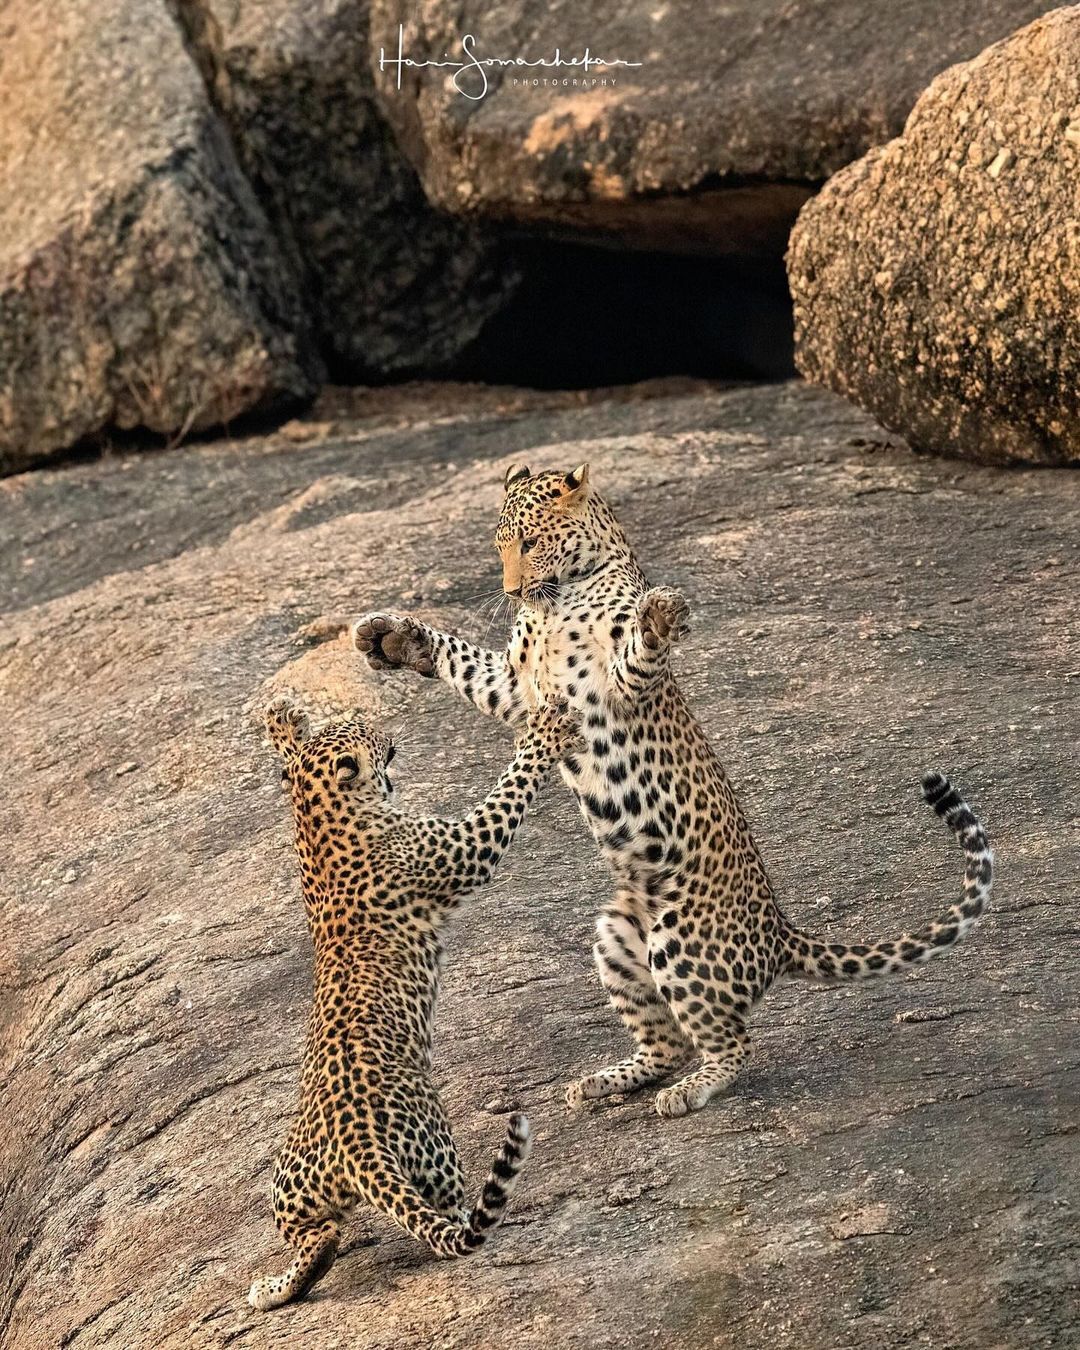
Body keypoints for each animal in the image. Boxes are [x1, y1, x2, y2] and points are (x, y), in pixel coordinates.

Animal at [248, 696, 583, 1306]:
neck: (321, 815)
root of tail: (358, 1146)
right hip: (437, 1154)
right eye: (364, 732)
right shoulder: (466, 847)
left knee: (318, 1238)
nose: (387, 732)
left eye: (349, 725)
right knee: (448, 1219)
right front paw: (545, 732)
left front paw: (283, 721)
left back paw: (273, 1290)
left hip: (287, 1190)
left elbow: (287, 758)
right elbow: (511, 787)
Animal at [351, 461, 993, 1117]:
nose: (509, 592)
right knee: (670, 1043)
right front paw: (392, 639)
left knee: (732, 1043)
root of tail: (779, 932)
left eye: (528, 544)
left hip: (680, 941)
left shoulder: (611, 684)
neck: (555, 602)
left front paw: (660, 617)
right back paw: (606, 1080)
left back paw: (688, 1091)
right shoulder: (514, 687)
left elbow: (638, 650)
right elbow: (464, 663)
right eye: (499, 547)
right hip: (615, 938)